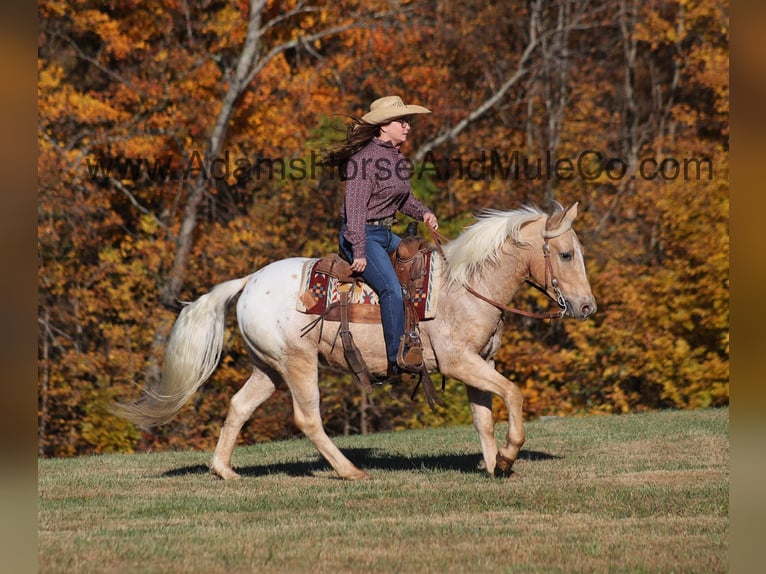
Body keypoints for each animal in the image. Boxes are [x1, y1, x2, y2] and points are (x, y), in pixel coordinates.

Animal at [112, 202, 600, 482]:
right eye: (565, 254)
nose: (586, 307)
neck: (465, 286)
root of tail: (249, 281)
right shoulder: (460, 363)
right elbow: (514, 395)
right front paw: (509, 457)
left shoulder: (477, 366)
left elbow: (484, 419)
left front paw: (494, 465)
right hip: (298, 364)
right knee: (307, 419)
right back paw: (350, 471)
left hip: (268, 368)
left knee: (238, 406)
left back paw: (225, 472)